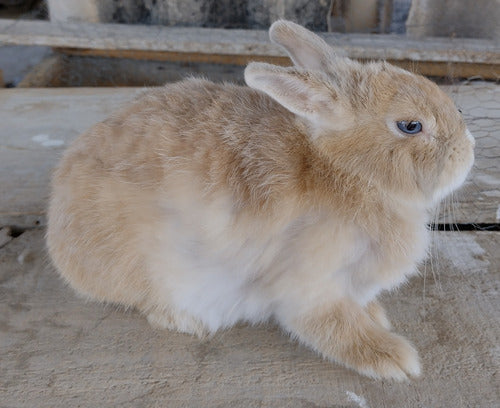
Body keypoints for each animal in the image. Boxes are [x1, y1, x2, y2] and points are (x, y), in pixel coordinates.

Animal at [48, 20, 474, 380]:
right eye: (410, 126)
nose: (469, 151)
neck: (349, 173)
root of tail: (57, 230)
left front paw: (376, 315)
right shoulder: (307, 286)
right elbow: (336, 326)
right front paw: (394, 359)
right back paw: (190, 321)